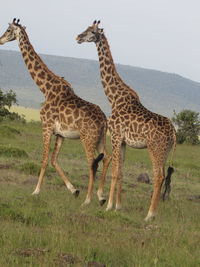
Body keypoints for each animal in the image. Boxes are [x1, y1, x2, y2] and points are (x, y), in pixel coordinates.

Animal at [0, 18, 111, 206]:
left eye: (8, 30)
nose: (0, 40)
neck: (46, 89)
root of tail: (104, 119)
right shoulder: (60, 133)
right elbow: (53, 159)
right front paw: (74, 190)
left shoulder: (46, 126)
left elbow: (44, 159)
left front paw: (35, 191)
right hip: (100, 139)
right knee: (106, 159)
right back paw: (101, 197)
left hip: (87, 138)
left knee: (92, 162)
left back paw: (88, 200)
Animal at [76, 20, 177, 222]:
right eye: (86, 28)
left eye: (92, 32)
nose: (78, 37)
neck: (113, 97)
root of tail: (174, 133)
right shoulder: (123, 141)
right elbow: (121, 172)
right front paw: (118, 207)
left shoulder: (115, 136)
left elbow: (115, 172)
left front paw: (108, 206)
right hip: (164, 152)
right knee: (163, 177)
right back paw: (153, 213)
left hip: (155, 149)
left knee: (159, 176)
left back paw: (149, 215)